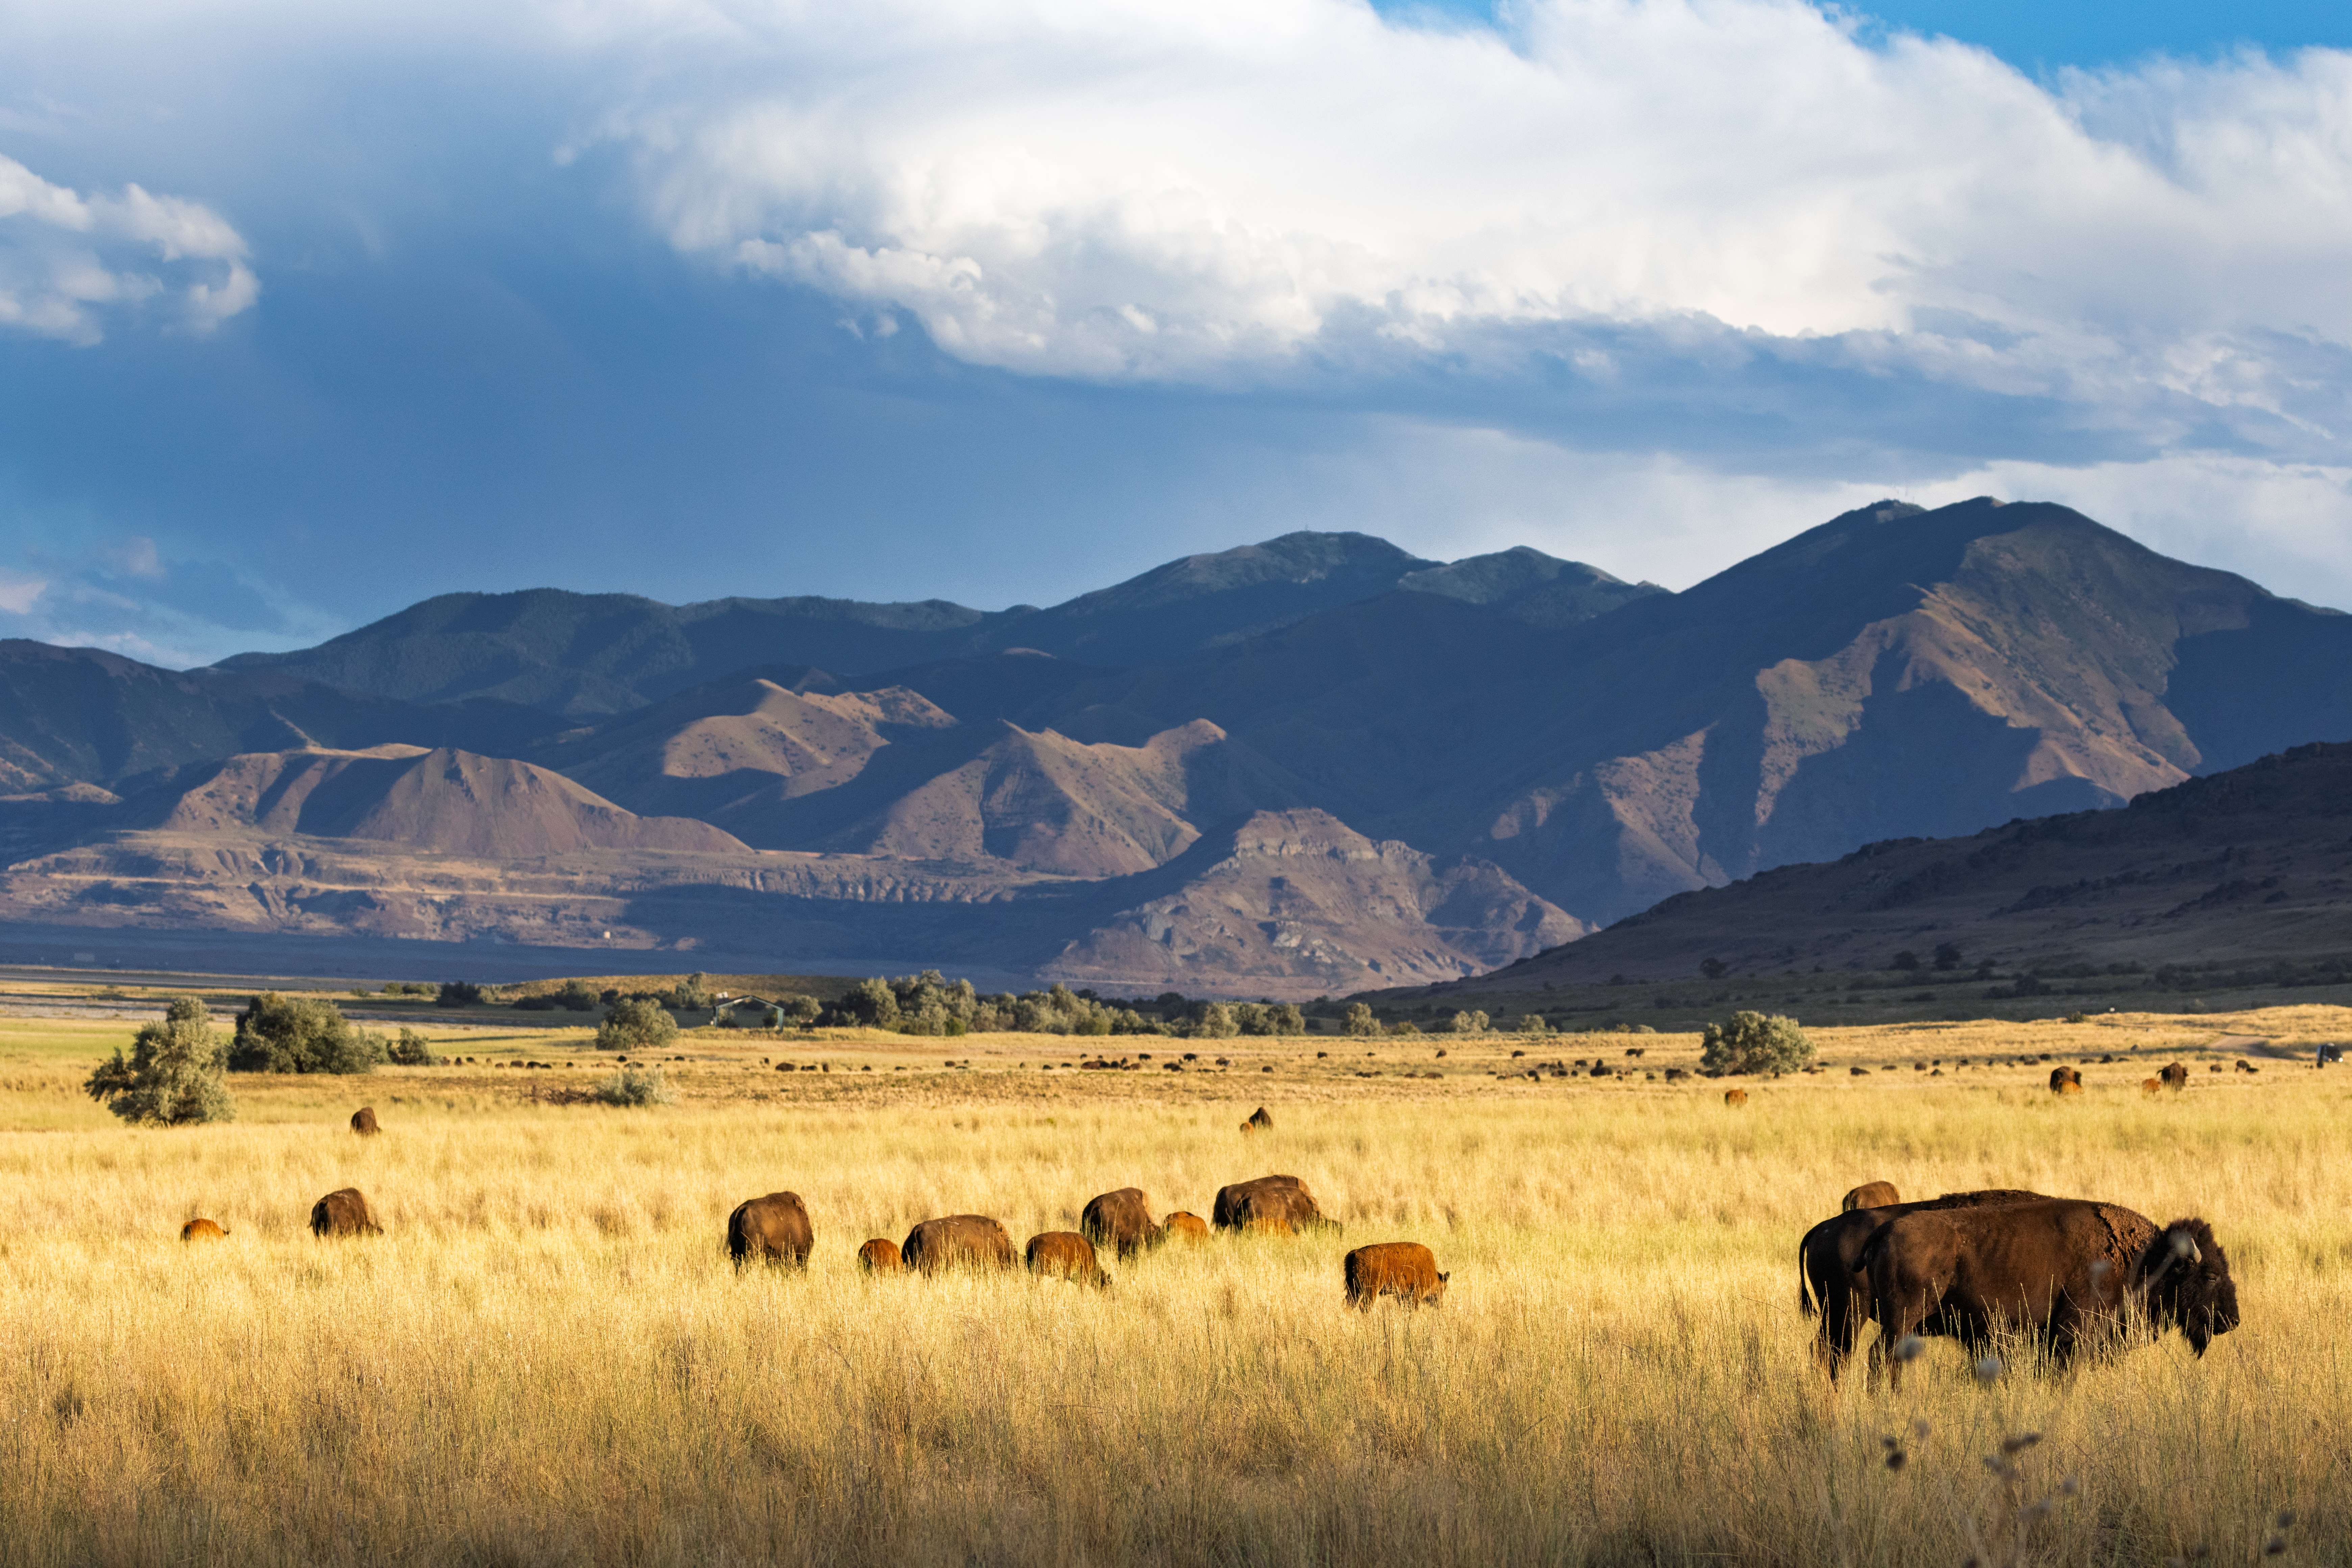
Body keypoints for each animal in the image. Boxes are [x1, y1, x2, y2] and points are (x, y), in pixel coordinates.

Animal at [1343, 1242, 1447, 1309]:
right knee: (1365, 1306)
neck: (1434, 1275)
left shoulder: (1402, 1295)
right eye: (1444, 1288)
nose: (1440, 1306)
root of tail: (1356, 1253)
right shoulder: (1416, 1293)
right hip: (1372, 1289)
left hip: (1354, 1288)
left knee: (1349, 1304)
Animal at [1863, 1198, 2239, 1389]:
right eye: (2210, 1275)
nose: (2233, 1320)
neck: (2145, 1259)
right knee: (1882, 1357)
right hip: (1901, 1321)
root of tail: (1884, 1231)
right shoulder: (2074, 1332)